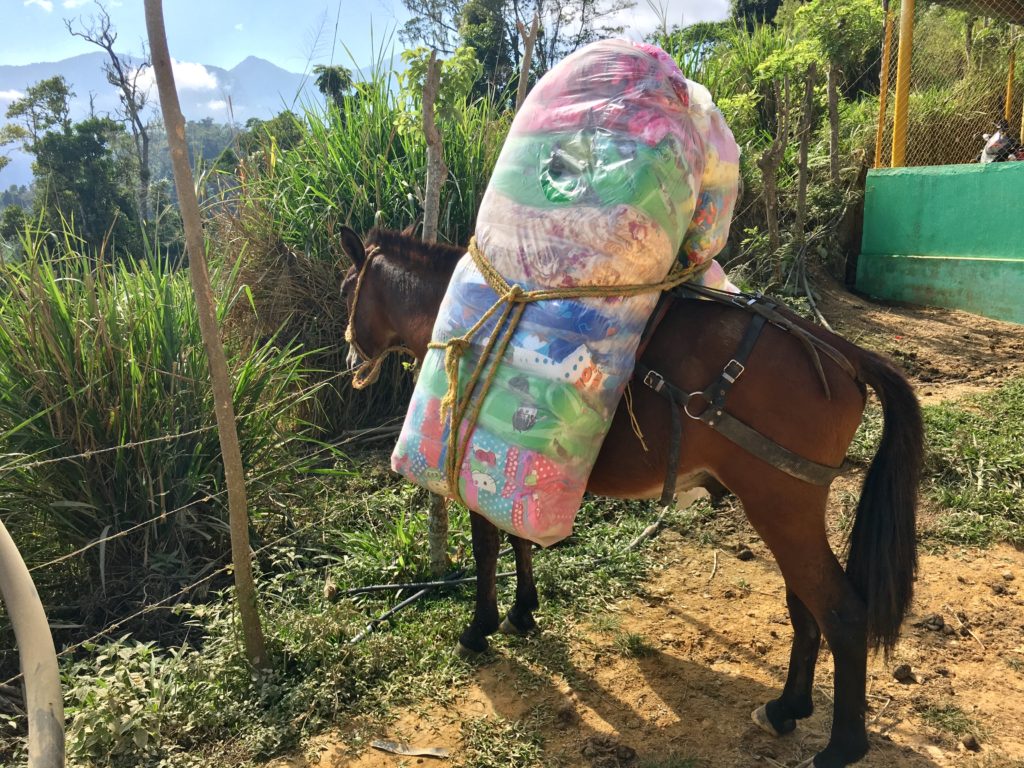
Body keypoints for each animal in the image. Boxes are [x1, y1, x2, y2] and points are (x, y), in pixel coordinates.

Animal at [339, 225, 925, 765]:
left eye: (349, 286)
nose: (349, 358)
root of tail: (841, 353)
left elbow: (488, 550)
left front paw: (479, 627)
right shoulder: (515, 472)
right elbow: (519, 540)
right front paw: (523, 612)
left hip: (780, 506)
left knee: (841, 613)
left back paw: (842, 746)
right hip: (787, 511)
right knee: (804, 605)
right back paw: (786, 708)